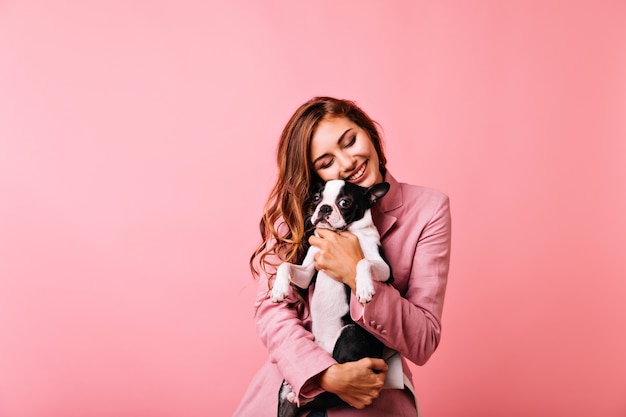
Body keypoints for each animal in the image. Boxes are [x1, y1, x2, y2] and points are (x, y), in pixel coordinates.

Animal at [268, 179, 390, 416]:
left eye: (345, 202)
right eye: (316, 198)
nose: (324, 208)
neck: (343, 232)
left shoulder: (386, 270)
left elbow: (363, 261)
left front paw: (364, 288)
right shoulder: (307, 272)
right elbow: (285, 265)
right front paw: (279, 289)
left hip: (351, 334)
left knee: (337, 392)